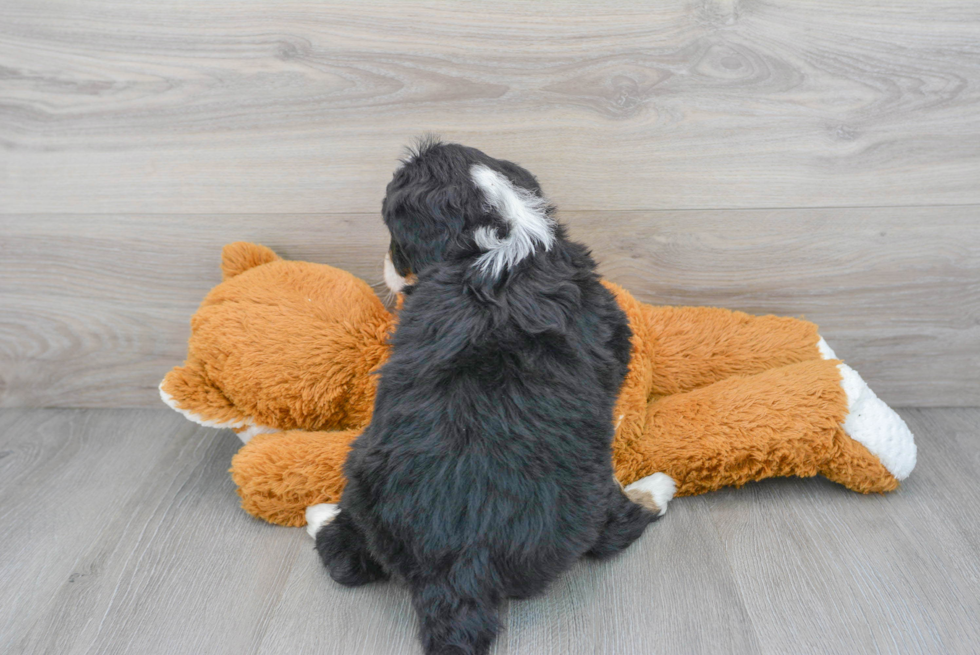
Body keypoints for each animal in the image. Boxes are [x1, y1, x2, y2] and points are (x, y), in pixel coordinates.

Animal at [314, 141, 668, 652]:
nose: (386, 269)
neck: (500, 235)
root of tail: (459, 565)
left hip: (363, 474)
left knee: (345, 556)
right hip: (586, 498)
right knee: (615, 530)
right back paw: (655, 488)